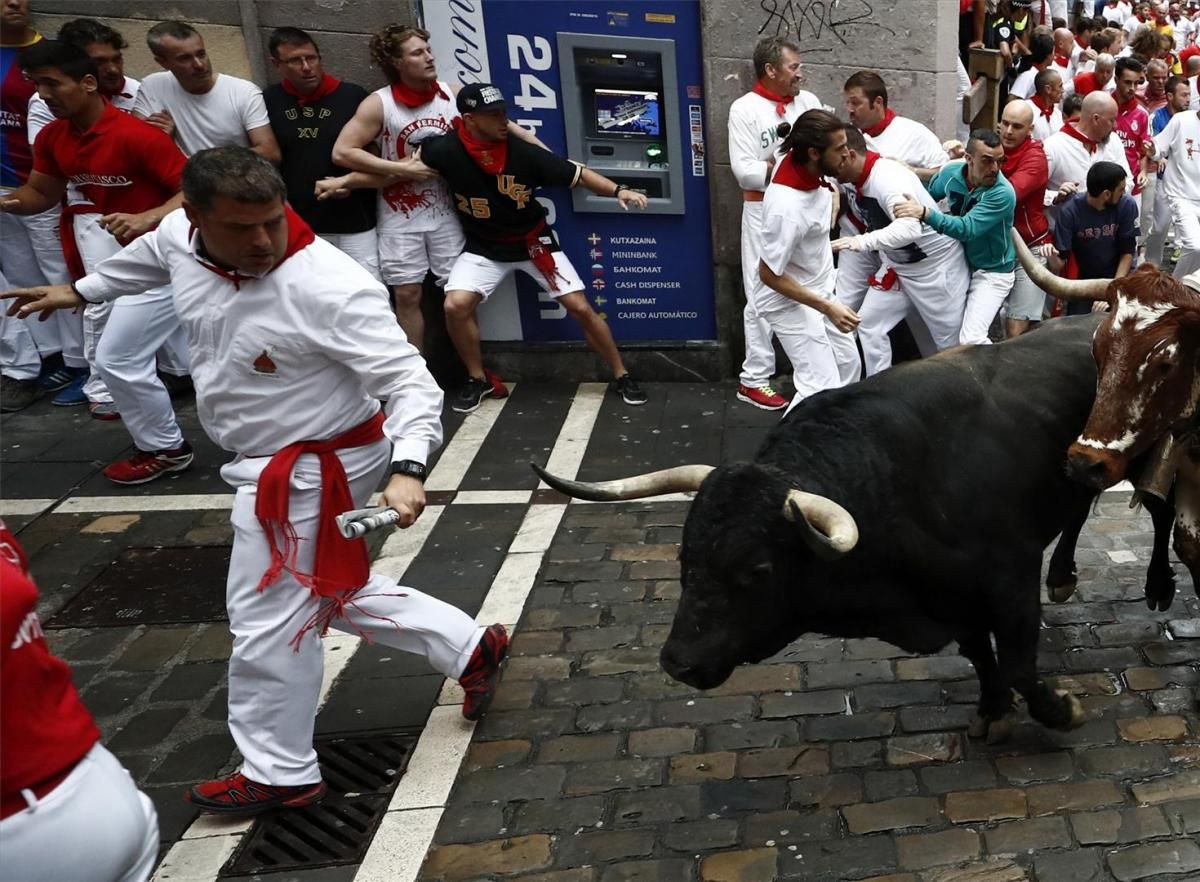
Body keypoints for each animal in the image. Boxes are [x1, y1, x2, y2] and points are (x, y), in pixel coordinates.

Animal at [540, 314, 1176, 744]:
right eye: (683, 558)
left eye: (758, 569)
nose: (678, 662)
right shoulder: (955, 598)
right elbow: (980, 653)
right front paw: (991, 709)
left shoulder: (1008, 577)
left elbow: (1019, 663)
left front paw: (1059, 710)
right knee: (1078, 510)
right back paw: (1065, 575)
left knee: (1161, 512)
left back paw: (1159, 586)